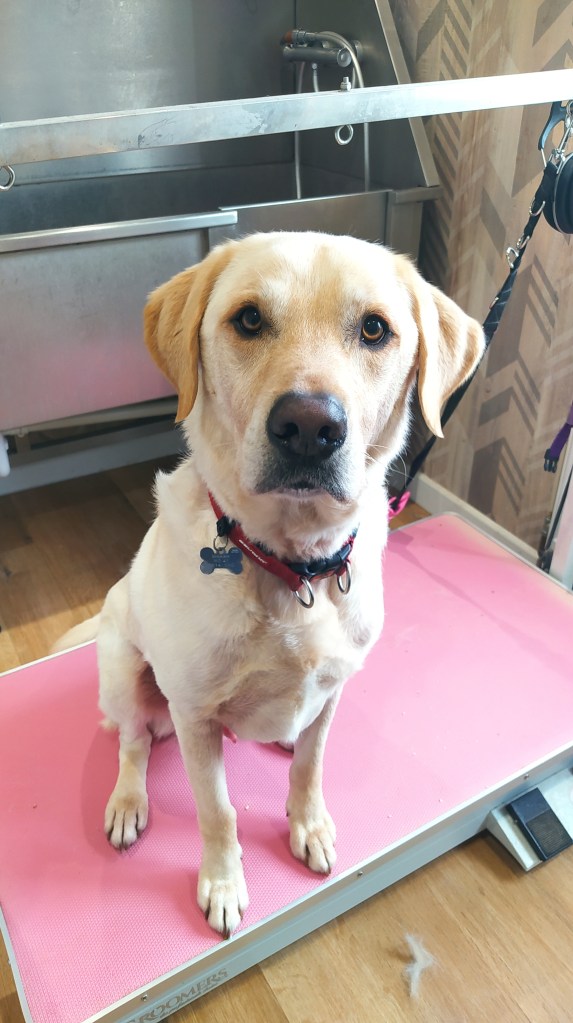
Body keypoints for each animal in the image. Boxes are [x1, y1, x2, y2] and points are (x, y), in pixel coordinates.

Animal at [55, 231, 484, 936]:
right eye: (250, 319)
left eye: (374, 329)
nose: (309, 427)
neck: (294, 566)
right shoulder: (196, 716)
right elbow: (218, 812)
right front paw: (224, 884)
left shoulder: (335, 689)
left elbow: (311, 767)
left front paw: (308, 826)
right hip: (121, 671)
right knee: (133, 740)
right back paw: (126, 800)